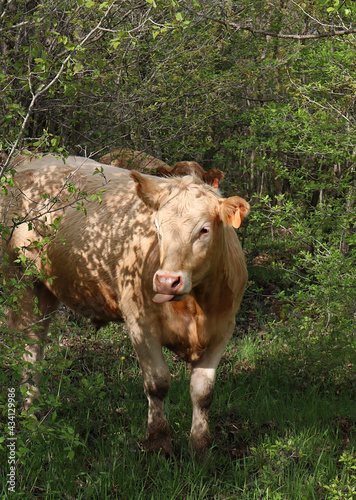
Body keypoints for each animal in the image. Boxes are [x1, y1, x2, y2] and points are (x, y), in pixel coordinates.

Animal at [1, 153, 249, 460]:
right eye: (157, 228)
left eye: (204, 229)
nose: (167, 281)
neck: (194, 307)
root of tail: (32, 160)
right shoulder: (140, 323)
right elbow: (158, 383)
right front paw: (158, 444)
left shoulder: (223, 328)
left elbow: (203, 392)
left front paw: (200, 448)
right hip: (19, 280)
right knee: (29, 349)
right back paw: (31, 418)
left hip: (44, 290)